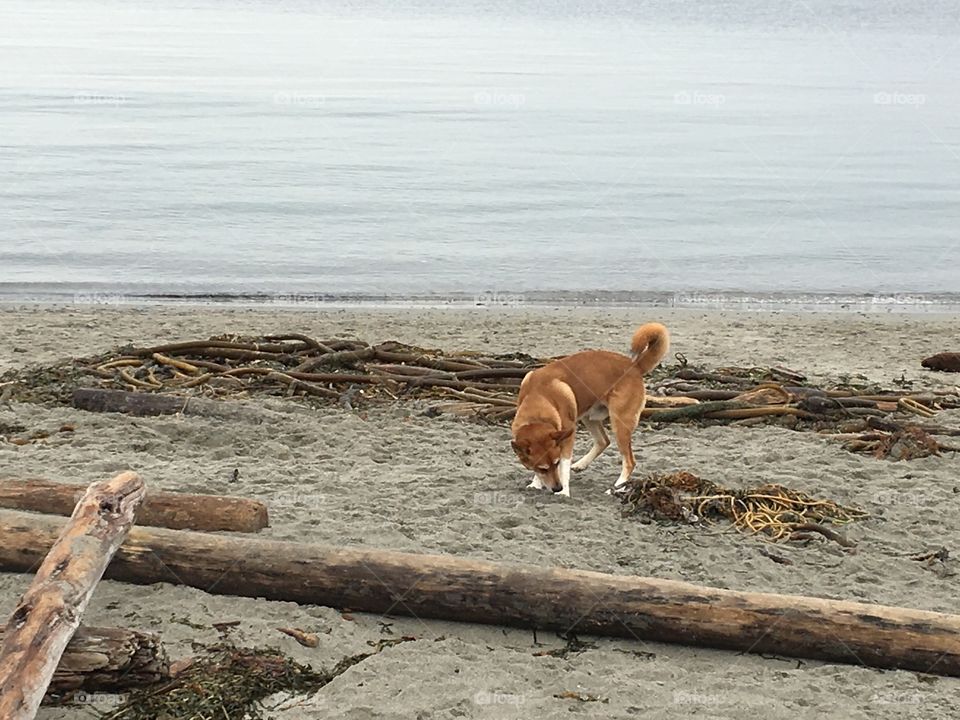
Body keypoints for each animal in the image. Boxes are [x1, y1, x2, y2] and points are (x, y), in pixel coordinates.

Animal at [510, 324, 668, 498]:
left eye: (556, 463)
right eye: (542, 468)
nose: (557, 488)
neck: (539, 398)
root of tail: (635, 366)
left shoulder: (567, 437)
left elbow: (564, 468)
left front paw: (564, 491)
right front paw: (536, 483)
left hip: (619, 423)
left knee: (629, 462)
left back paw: (616, 487)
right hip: (589, 417)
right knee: (603, 441)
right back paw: (581, 464)